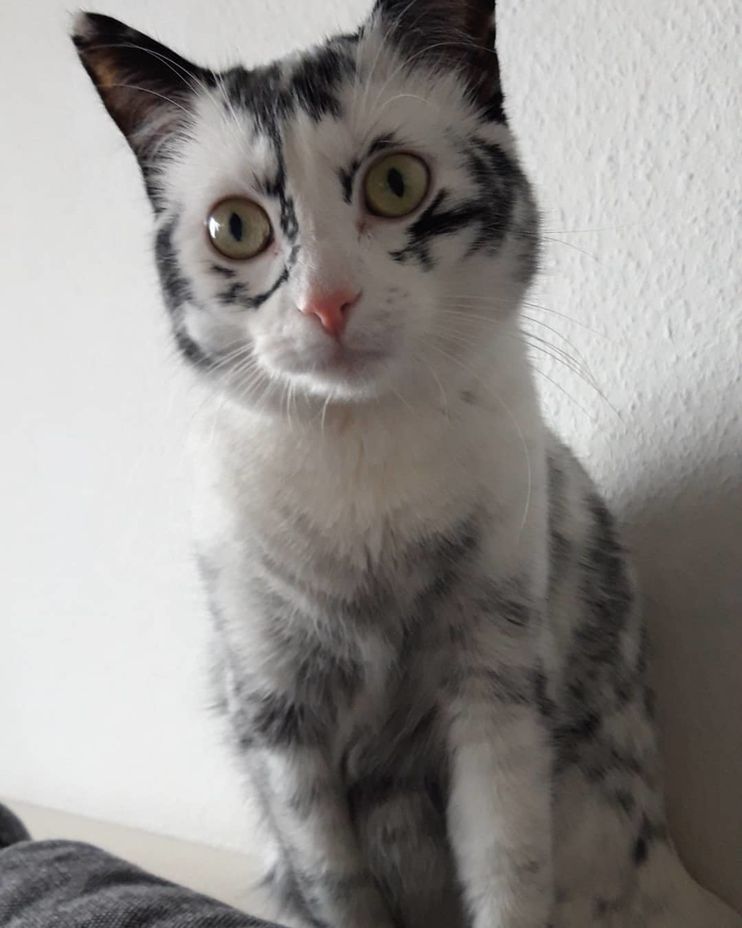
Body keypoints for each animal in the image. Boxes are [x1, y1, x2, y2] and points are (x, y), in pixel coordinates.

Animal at [71, 1, 742, 928]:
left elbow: (506, 870)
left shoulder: (496, 684)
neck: (360, 464)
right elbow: (336, 888)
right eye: (235, 227)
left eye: (395, 183)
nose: (328, 300)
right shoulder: (279, 719)